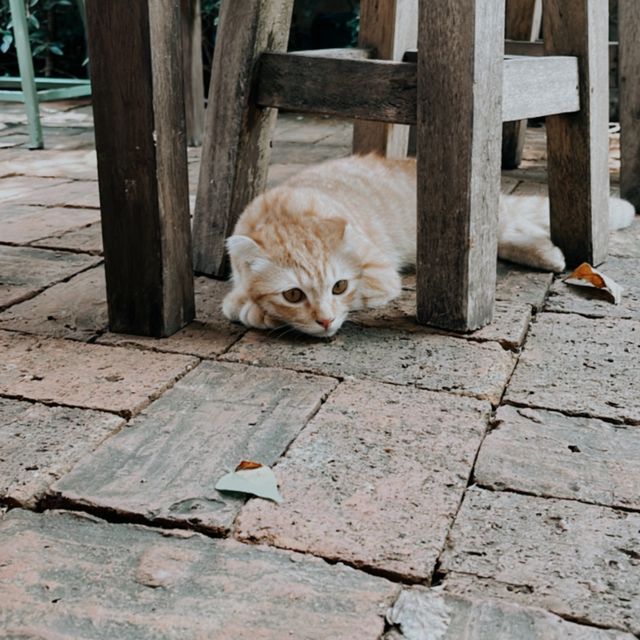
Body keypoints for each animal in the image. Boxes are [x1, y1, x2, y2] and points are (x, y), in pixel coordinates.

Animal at [221, 154, 636, 340]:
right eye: (293, 294)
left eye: (339, 286)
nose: (324, 321)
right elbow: (235, 303)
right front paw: (254, 308)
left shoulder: (381, 276)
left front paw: (262, 314)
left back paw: (552, 256)